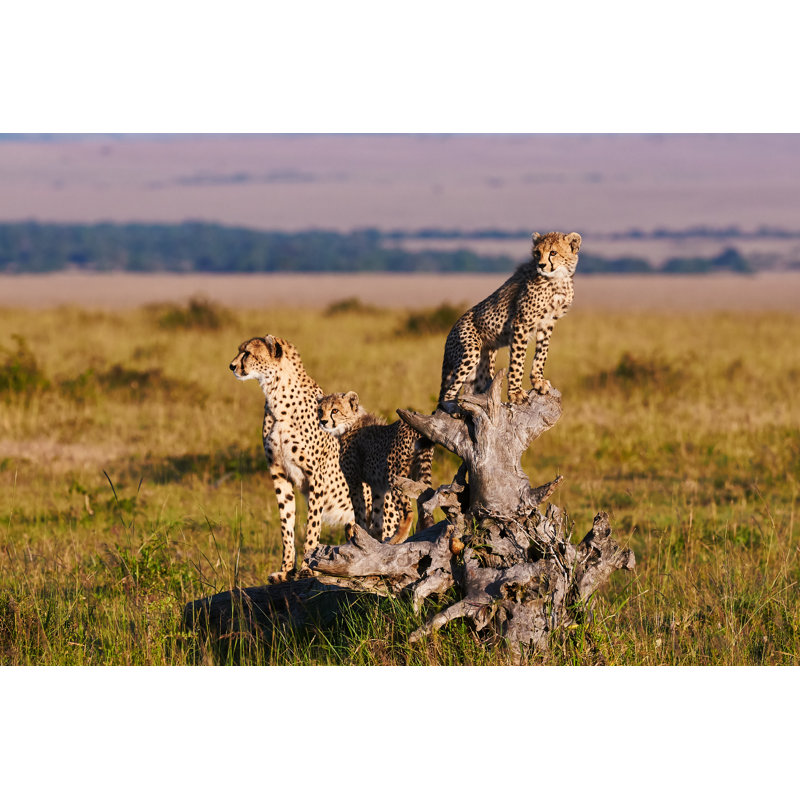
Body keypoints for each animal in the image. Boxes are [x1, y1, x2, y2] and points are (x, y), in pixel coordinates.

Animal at [229, 335, 358, 582]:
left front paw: (308, 568)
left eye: (247, 353)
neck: (276, 395)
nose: (231, 366)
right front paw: (286, 569)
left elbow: (312, 526)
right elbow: (286, 523)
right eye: (240, 350)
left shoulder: (316, 476)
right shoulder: (279, 473)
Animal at [318, 391, 435, 543]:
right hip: (417, 475)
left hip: (394, 476)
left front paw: (359, 533)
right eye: (320, 410)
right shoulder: (377, 485)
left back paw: (395, 539)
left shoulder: (354, 481)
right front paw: (375, 536)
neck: (349, 424)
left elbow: (359, 510)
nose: (323, 421)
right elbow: (378, 513)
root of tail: (412, 428)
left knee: (407, 511)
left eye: (334, 410)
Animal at [438, 231, 581, 409]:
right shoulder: (522, 323)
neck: (558, 279)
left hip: (482, 366)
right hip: (470, 351)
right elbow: (517, 360)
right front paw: (516, 393)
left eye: (553, 252)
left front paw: (538, 381)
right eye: (537, 253)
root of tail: (450, 332)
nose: (541, 265)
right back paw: (452, 407)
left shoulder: (547, 323)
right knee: (449, 391)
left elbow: (542, 353)